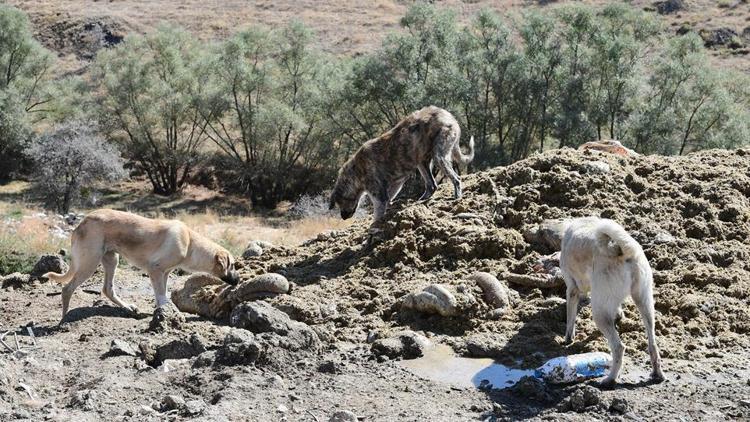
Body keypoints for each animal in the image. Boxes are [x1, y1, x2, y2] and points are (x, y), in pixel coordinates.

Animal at [44, 209, 238, 322]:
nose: (238, 280)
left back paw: (128, 307)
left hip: (111, 260)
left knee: (107, 289)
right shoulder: (155, 269)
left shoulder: (164, 273)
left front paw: (163, 312)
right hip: (89, 263)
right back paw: (64, 319)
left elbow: (162, 294)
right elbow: (162, 296)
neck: (190, 242)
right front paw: (170, 313)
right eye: (233, 265)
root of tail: (80, 223)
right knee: (67, 288)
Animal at [330, 106, 472, 221]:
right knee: (432, 185)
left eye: (340, 202)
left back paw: (457, 197)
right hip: (422, 163)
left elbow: (377, 216)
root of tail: (450, 117)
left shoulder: (379, 197)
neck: (356, 171)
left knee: (456, 179)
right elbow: (389, 199)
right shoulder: (397, 183)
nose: (343, 218)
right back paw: (421, 200)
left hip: (439, 157)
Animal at [564, 218, 664, 386]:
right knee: (653, 344)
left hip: (600, 313)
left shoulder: (572, 289)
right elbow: (617, 311)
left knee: (618, 347)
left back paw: (610, 379)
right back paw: (657, 374)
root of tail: (625, 250)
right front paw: (618, 316)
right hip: (644, 302)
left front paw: (567, 339)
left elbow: (570, 318)